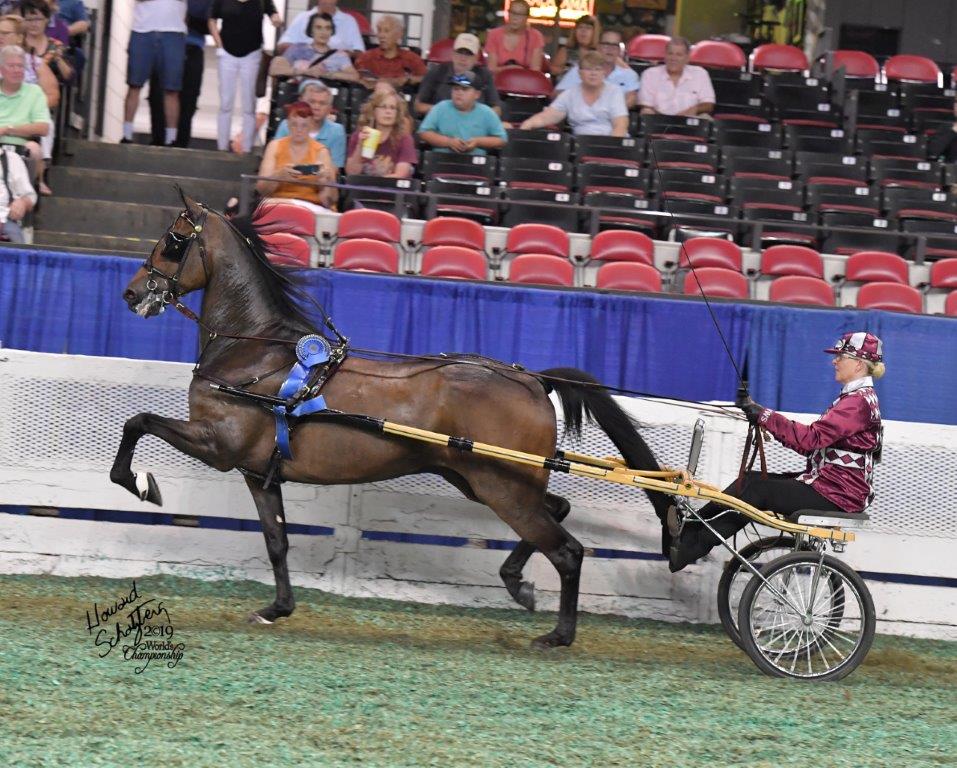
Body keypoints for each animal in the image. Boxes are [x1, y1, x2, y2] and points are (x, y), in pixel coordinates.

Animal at [112, 198, 668, 648]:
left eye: (173, 241)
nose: (132, 293)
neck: (255, 352)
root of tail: (532, 380)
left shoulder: (219, 445)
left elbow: (138, 421)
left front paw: (142, 484)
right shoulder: (258, 472)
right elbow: (276, 541)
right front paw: (277, 608)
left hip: (502, 488)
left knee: (568, 550)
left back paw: (558, 634)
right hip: (485, 480)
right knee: (559, 511)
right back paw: (519, 584)